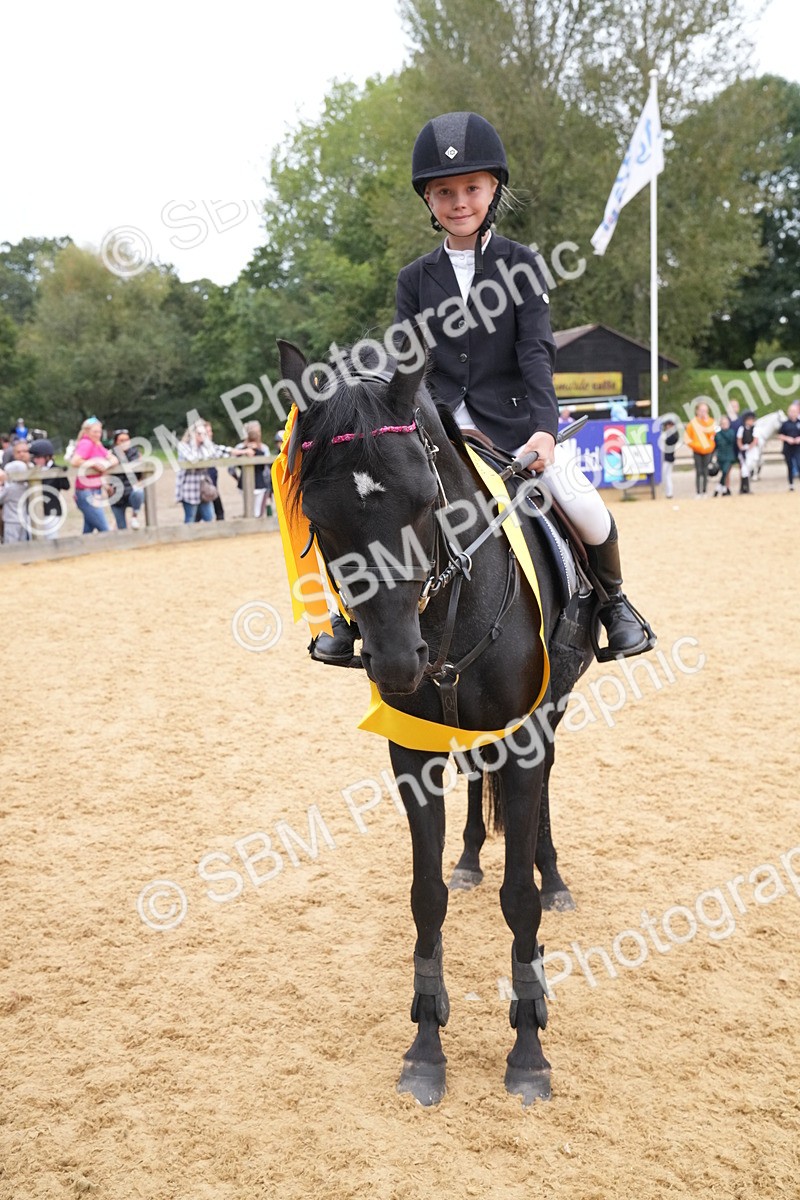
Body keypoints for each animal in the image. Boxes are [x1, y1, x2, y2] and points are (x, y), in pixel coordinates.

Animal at [278, 336, 595, 1106]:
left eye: (425, 502)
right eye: (321, 521)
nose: (396, 662)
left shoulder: (525, 737)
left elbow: (520, 900)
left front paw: (529, 1048)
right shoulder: (411, 754)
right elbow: (425, 899)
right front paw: (426, 1045)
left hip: (552, 713)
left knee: (544, 798)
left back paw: (554, 876)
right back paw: (472, 857)